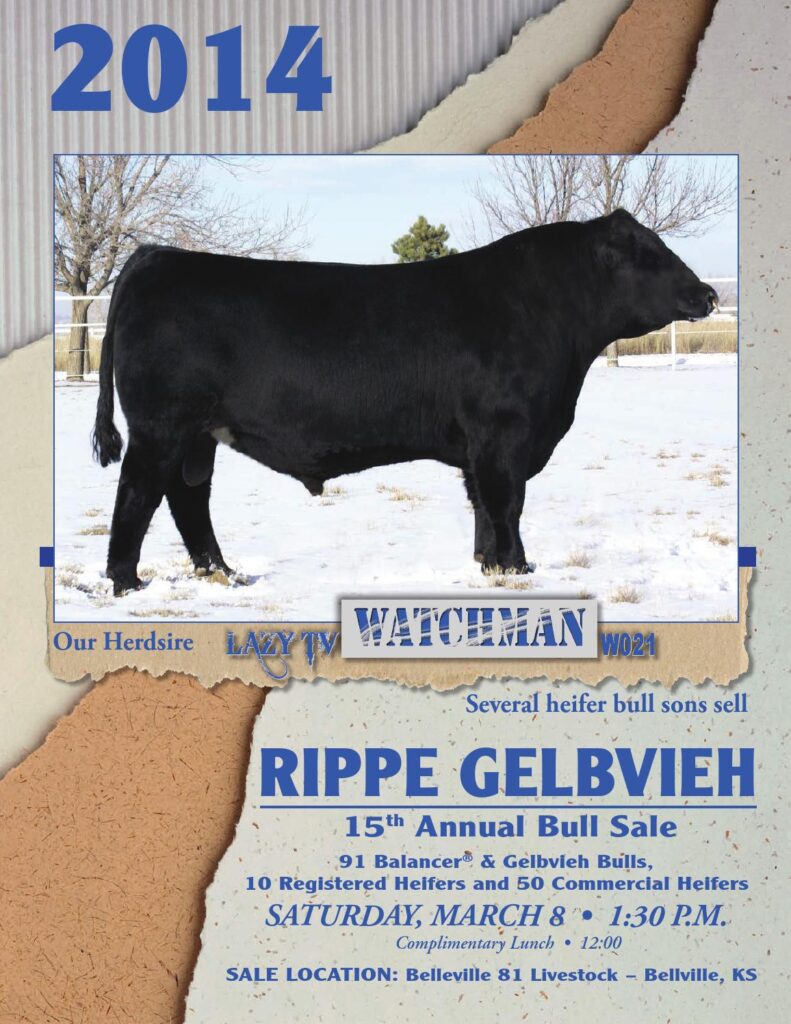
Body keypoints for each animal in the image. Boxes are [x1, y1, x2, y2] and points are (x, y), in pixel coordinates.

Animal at [91, 209, 717, 596]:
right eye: (651, 254)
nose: (709, 293)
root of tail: (159, 256)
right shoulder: (504, 436)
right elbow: (507, 504)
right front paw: (518, 569)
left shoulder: (479, 447)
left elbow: (483, 507)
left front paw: (488, 566)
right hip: (160, 428)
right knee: (138, 494)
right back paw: (126, 583)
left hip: (197, 435)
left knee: (187, 498)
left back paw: (222, 573)